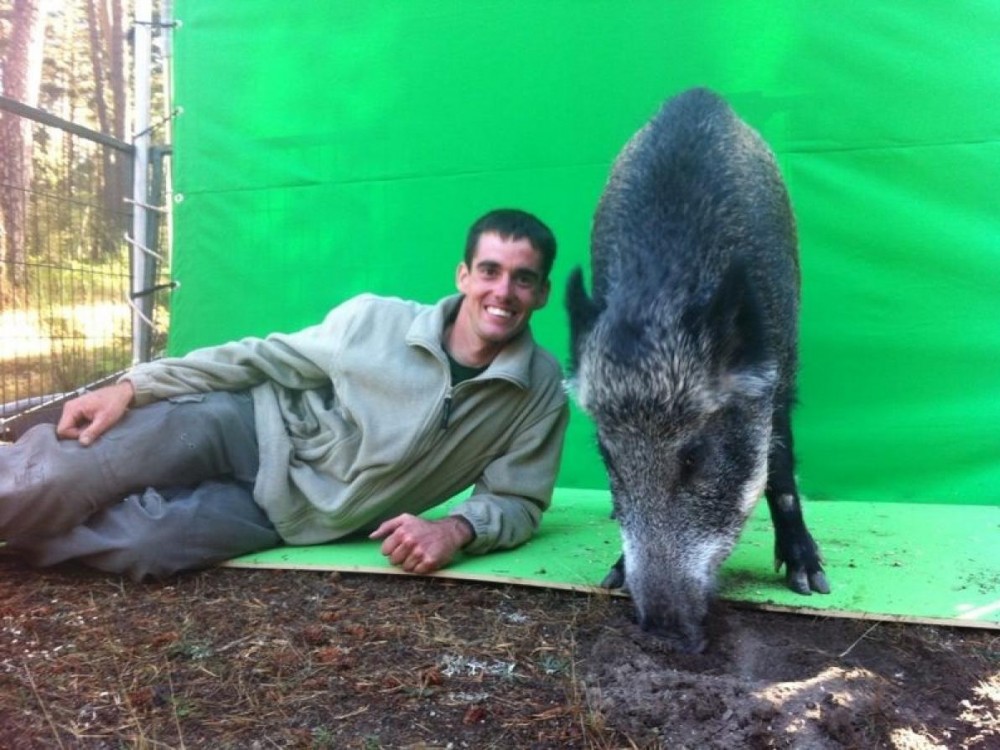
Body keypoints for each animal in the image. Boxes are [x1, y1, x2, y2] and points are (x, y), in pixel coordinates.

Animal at [566, 88, 829, 653]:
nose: (663, 633)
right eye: (607, 455)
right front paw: (613, 573)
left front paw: (811, 582)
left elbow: (781, 468)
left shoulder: (780, 372)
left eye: (695, 455)